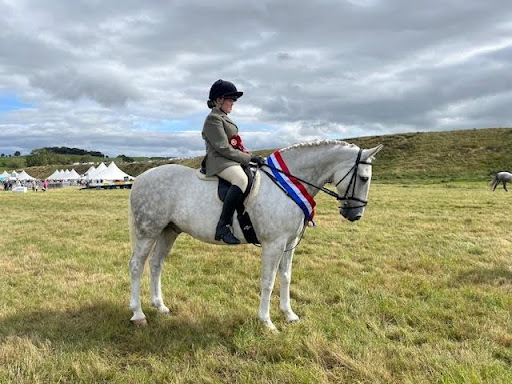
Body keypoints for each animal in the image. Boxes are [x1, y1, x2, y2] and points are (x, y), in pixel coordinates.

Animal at [128, 140, 384, 332]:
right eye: (364, 178)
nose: (355, 215)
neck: (288, 184)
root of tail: (140, 178)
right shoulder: (274, 244)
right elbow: (268, 281)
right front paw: (267, 322)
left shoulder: (289, 243)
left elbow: (286, 277)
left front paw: (289, 314)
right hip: (148, 231)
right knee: (137, 266)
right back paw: (138, 314)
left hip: (169, 230)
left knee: (156, 264)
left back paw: (160, 306)